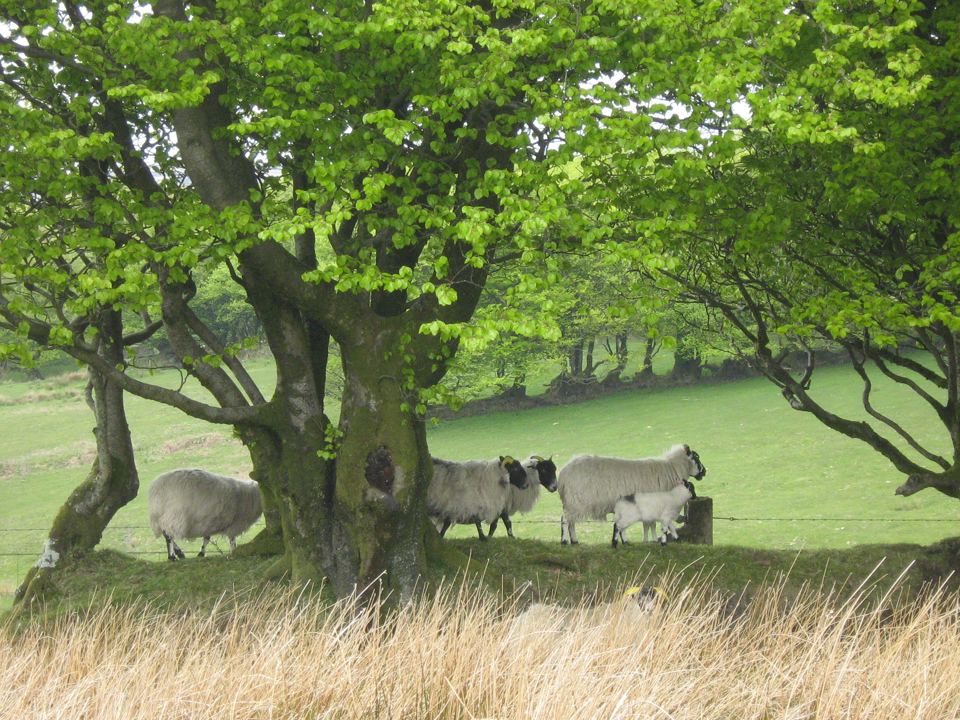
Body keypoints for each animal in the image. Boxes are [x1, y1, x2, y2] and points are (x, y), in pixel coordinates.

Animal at [558, 444, 706, 545]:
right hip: (575, 502)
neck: (672, 469)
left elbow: (648, 524)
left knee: (571, 522)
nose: (705, 472)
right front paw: (653, 540)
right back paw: (565, 541)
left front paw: (648, 540)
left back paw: (574, 540)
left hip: (571, 503)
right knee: (565, 520)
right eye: (696, 457)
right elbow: (651, 524)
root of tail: (563, 474)